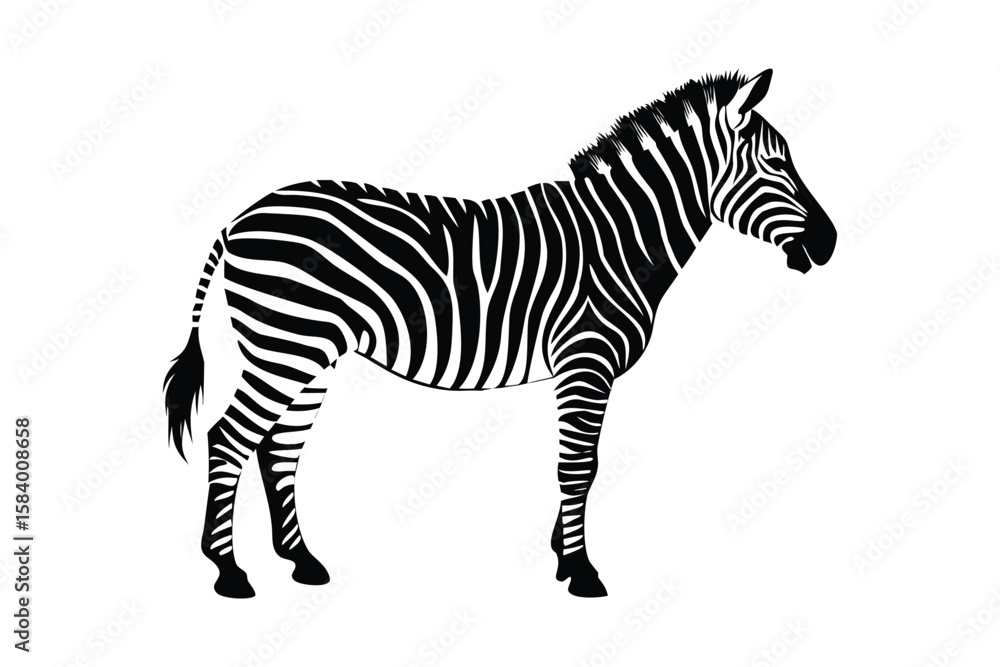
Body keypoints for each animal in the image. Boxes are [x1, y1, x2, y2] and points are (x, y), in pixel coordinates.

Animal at [164, 70, 837, 599]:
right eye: (775, 163)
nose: (830, 243)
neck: (619, 241)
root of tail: (238, 217)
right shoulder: (585, 362)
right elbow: (578, 466)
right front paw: (581, 571)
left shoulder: (581, 372)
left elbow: (580, 464)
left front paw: (562, 555)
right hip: (285, 346)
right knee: (229, 438)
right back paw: (229, 572)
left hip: (308, 353)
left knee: (279, 446)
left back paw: (301, 561)